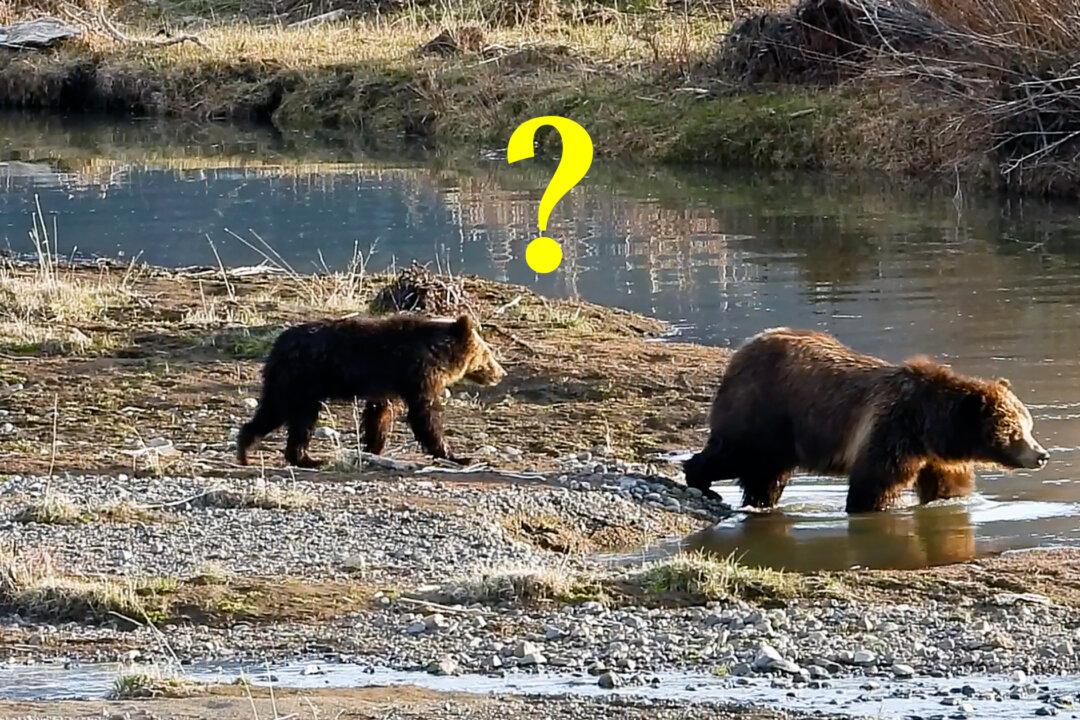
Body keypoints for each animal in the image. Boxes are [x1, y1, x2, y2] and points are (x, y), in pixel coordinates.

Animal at [236, 313, 506, 468]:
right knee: (288, 414)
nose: (500, 373)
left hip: (294, 384)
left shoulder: (387, 386)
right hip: (299, 380)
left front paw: (372, 449)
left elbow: (379, 415)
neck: (438, 354)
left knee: (285, 415)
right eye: (488, 354)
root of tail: (277, 345)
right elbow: (425, 414)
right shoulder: (417, 374)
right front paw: (456, 455)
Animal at [683, 328, 1048, 513]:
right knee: (737, 452)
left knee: (767, 474)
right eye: (1014, 429)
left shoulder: (935, 456)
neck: (930, 426)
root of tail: (742, 350)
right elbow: (875, 482)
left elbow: (947, 487)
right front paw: (870, 506)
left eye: (1029, 425)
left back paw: (759, 502)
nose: (1041, 455)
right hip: (765, 410)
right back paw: (702, 482)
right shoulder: (891, 428)